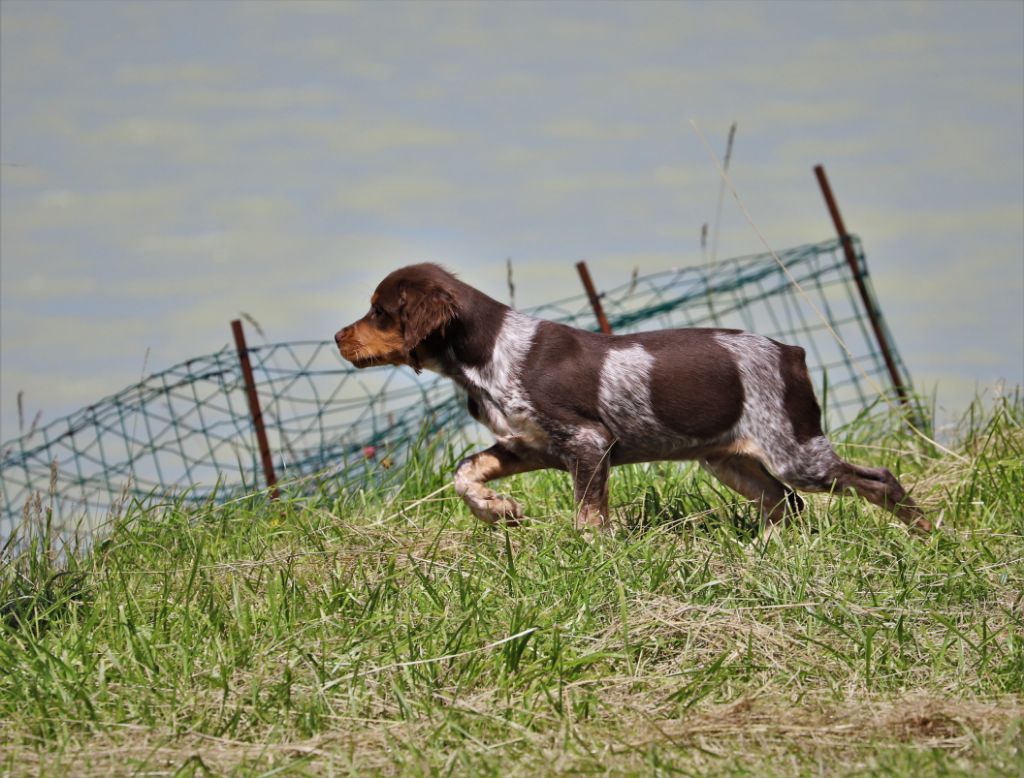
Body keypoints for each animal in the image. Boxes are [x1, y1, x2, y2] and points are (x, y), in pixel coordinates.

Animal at [335, 264, 929, 532]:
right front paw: (497, 510)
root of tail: (792, 352)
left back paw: (923, 534)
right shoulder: (531, 446)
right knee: (788, 505)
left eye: (379, 312)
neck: (490, 354)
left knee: (879, 480)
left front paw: (592, 554)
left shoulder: (587, 442)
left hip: (797, 453)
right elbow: (464, 471)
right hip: (731, 461)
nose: (338, 337)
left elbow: (588, 517)